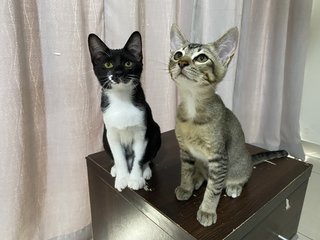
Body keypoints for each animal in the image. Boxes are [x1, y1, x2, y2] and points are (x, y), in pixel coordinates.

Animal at [87, 31, 161, 191]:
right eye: (108, 64)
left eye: (128, 63)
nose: (118, 72)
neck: (121, 100)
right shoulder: (111, 133)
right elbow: (119, 157)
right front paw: (122, 178)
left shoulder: (141, 131)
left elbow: (139, 158)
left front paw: (135, 179)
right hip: (104, 136)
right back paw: (115, 169)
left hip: (155, 131)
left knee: (148, 156)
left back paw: (146, 171)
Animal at [169, 24, 288, 227]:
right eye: (177, 54)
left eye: (201, 58)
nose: (182, 63)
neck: (193, 108)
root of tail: (250, 159)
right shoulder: (185, 150)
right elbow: (185, 171)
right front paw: (186, 187)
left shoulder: (219, 157)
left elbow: (214, 189)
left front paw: (207, 210)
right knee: (202, 173)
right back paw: (197, 179)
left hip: (237, 167)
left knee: (237, 178)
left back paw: (233, 186)